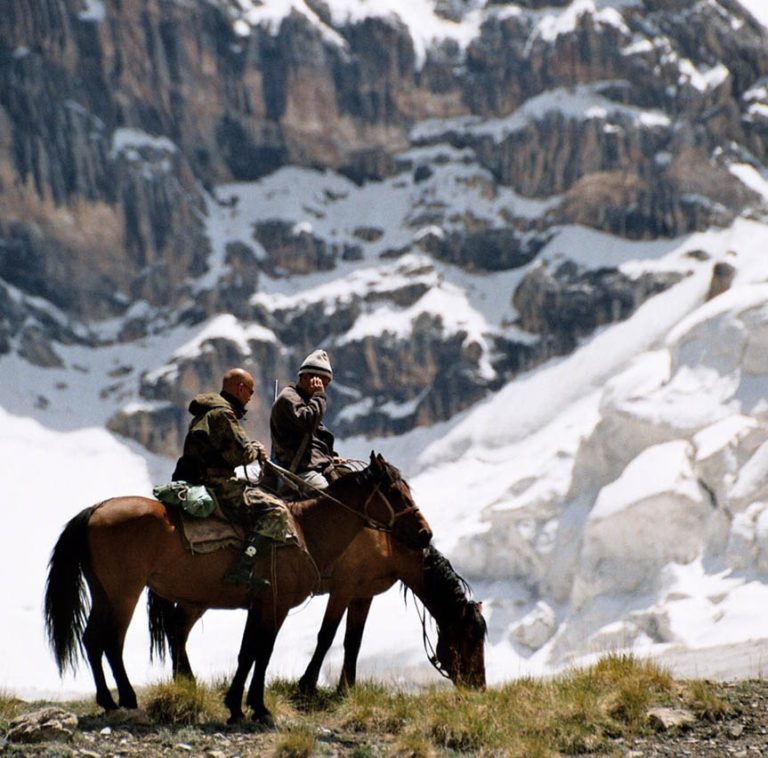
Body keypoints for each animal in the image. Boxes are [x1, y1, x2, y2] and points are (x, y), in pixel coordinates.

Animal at [43, 454, 432, 728]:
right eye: (395, 492)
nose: (425, 534)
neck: (304, 530)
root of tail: (96, 510)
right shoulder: (277, 605)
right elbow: (264, 652)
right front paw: (258, 708)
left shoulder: (257, 605)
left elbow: (247, 653)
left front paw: (235, 707)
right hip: (125, 592)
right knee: (111, 641)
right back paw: (126, 698)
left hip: (104, 591)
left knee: (93, 639)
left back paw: (108, 701)